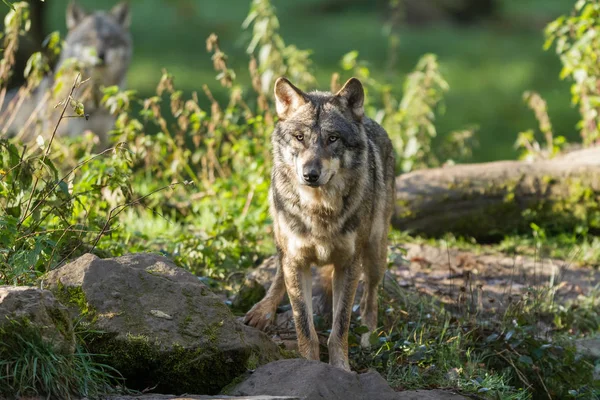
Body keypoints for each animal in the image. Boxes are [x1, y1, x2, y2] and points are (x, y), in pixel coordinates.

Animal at [246, 76, 396, 370]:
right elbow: (304, 325)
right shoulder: (297, 260)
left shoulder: (349, 264)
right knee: (279, 274)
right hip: (282, 242)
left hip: (375, 252)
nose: (310, 174)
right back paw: (263, 310)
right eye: (300, 137)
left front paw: (341, 369)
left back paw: (369, 335)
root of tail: (370, 120)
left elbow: (341, 326)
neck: (319, 210)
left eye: (332, 138)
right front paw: (310, 366)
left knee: (371, 296)